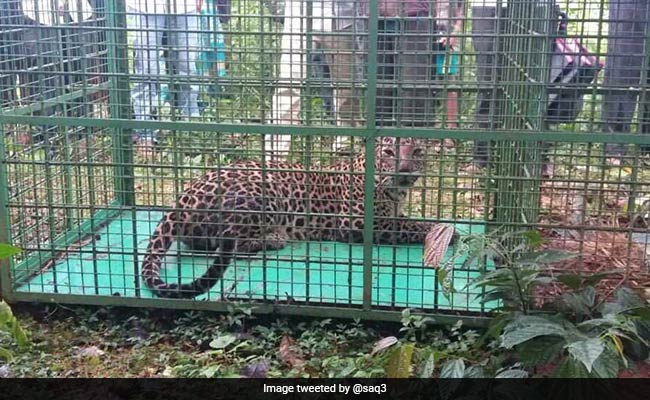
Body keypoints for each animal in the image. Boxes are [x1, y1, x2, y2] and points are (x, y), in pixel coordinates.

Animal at [142, 136, 449, 299]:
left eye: (417, 152)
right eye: (388, 152)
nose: (405, 171)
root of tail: (181, 198)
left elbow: (404, 219)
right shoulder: (356, 222)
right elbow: (406, 225)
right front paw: (442, 230)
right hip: (263, 191)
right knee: (230, 245)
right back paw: (275, 238)